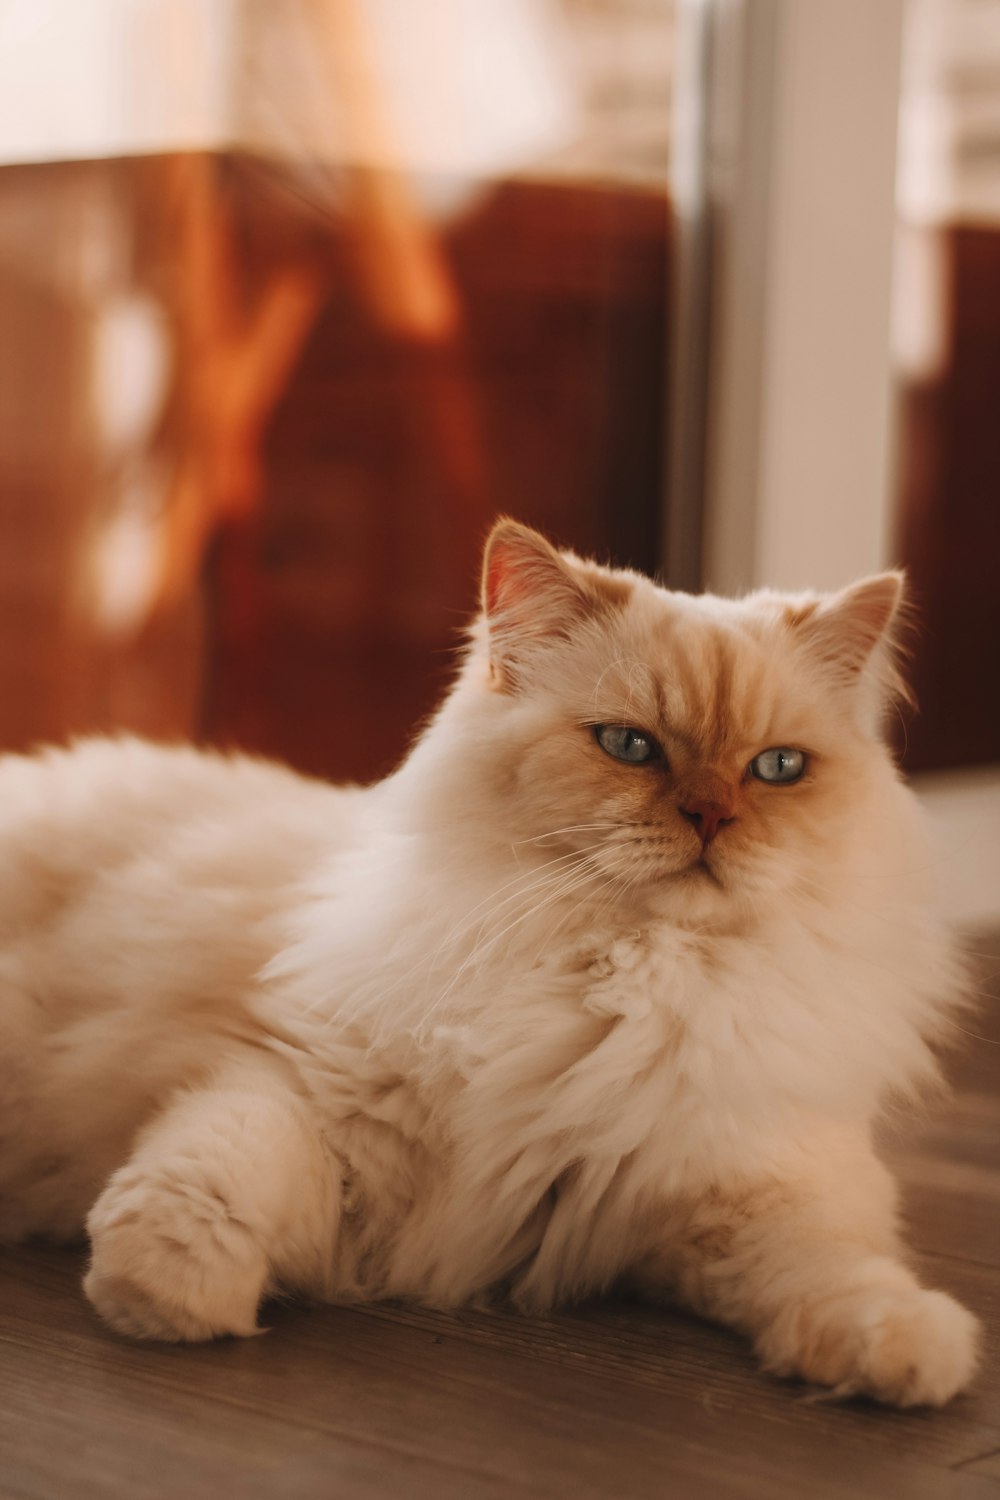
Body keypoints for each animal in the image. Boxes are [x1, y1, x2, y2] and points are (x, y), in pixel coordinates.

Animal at [0, 519, 983, 1404]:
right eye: (630, 746)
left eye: (778, 769)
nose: (711, 816)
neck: (627, 981)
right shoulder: (300, 1088)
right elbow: (208, 1182)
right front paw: (166, 1300)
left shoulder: (744, 1188)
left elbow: (836, 1270)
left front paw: (907, 1354)